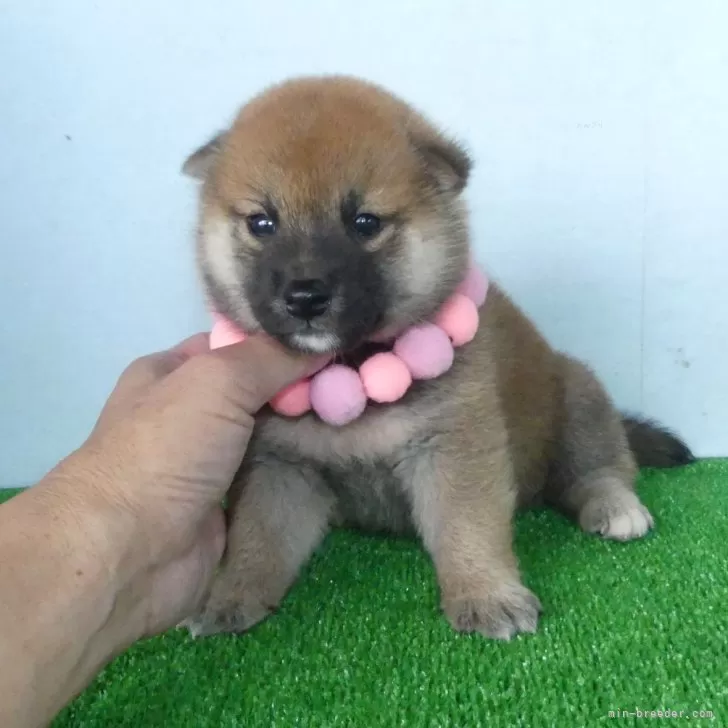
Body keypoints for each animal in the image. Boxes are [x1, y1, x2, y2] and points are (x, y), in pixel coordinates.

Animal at [179, 77, 692, 640]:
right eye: (262, 223)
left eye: (364, 223)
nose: (305, 296)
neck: (354, 369)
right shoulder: (279, 466)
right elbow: (258, 539)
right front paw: (228, 597)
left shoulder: (452, 445)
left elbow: (467, 526)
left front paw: (486, 595)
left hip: (577, 396)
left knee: (597, 469)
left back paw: (615, 506)